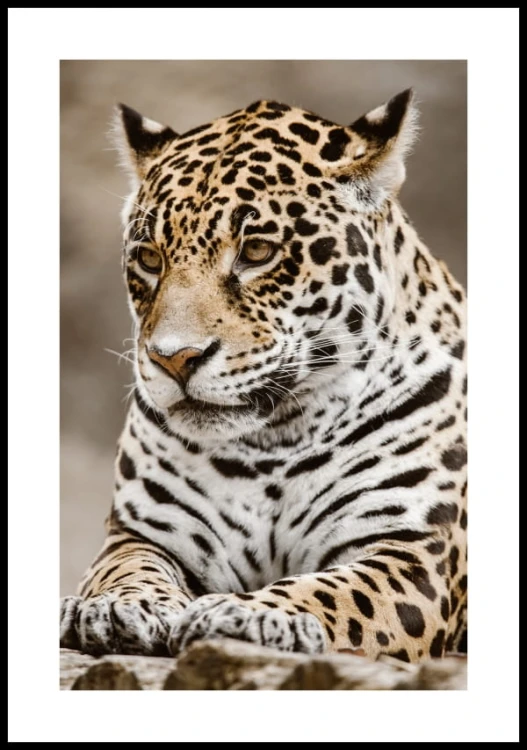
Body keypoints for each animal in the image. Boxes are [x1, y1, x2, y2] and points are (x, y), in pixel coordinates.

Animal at [60, 89, 467, 663]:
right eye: (149, 258)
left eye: (256, 251)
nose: (174, 359)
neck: (276, 439)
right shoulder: (143, 533)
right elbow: (124, 569)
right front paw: (116, 608)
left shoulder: (412, 551)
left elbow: (332, 590)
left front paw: (249, 613)